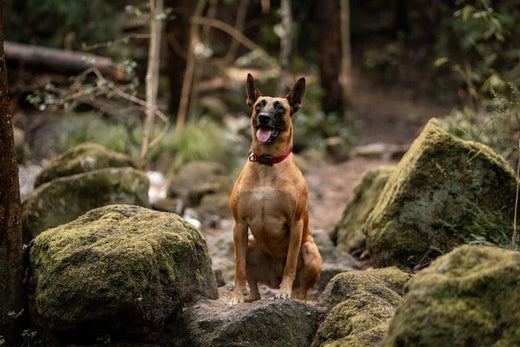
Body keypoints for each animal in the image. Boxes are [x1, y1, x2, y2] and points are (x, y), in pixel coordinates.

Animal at [231, 74, 322, 304]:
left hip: (310, 250)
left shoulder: (296, 224)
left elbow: (290, 263)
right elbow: (238, 268)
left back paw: (292, 295)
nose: (263, 117)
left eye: (280, 108)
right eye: (259, 105)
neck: (267, 163)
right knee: (254, 289)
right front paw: (236, 295)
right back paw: (249, 297)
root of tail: (273, 279)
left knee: (301, 289)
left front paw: (284, 292)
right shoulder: (239, 225)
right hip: (251, 243)